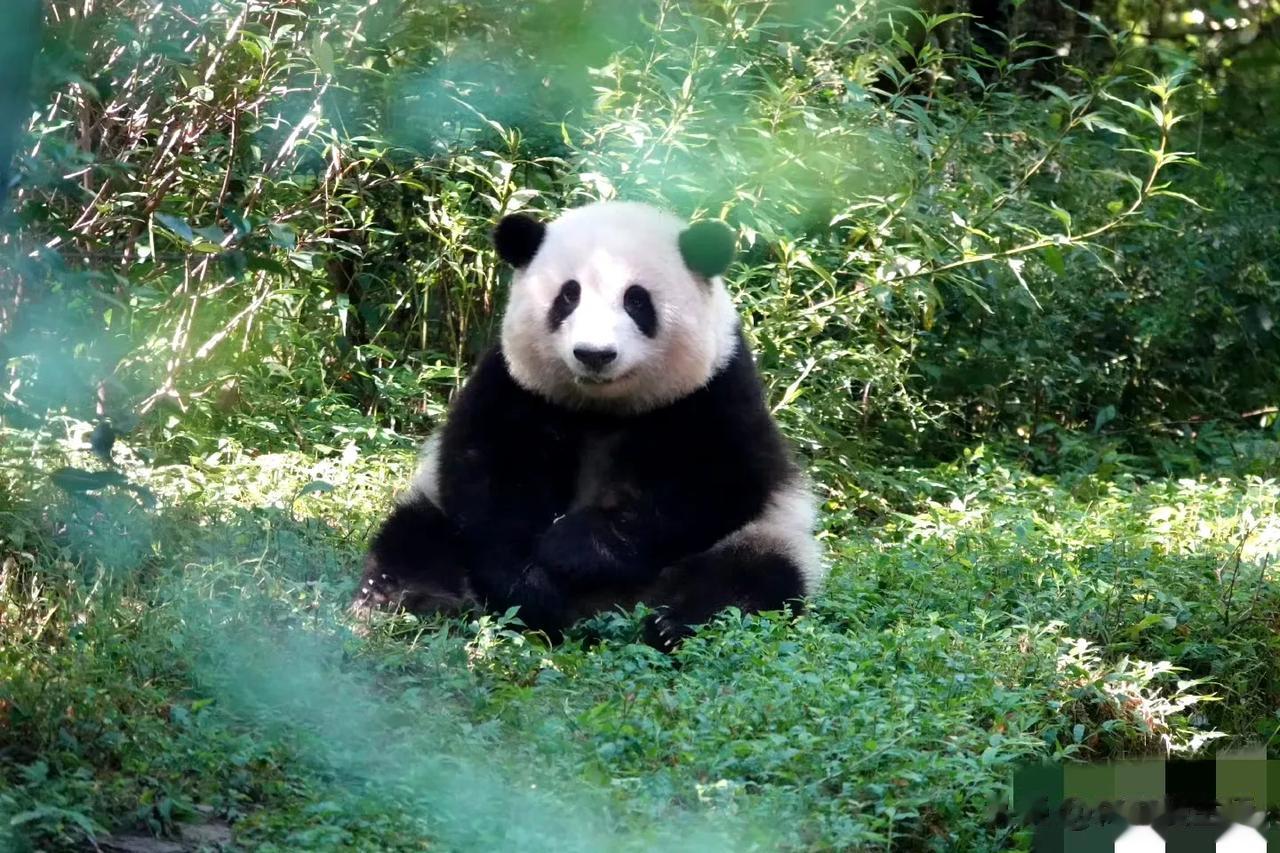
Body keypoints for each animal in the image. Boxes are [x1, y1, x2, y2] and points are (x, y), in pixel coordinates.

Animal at [353, 199, 829, 648]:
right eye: (568, 296)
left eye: (636, 300)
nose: (594, 354)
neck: (604, 407)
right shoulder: (513, 382)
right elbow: (487, 477)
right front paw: (529, 585)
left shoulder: (718, 387)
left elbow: (716, 485)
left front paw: (569, 548)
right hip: (431, 515)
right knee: (416, 539)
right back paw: (410, 602)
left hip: (767, 535)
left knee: (753, 577)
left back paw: (677, 622)